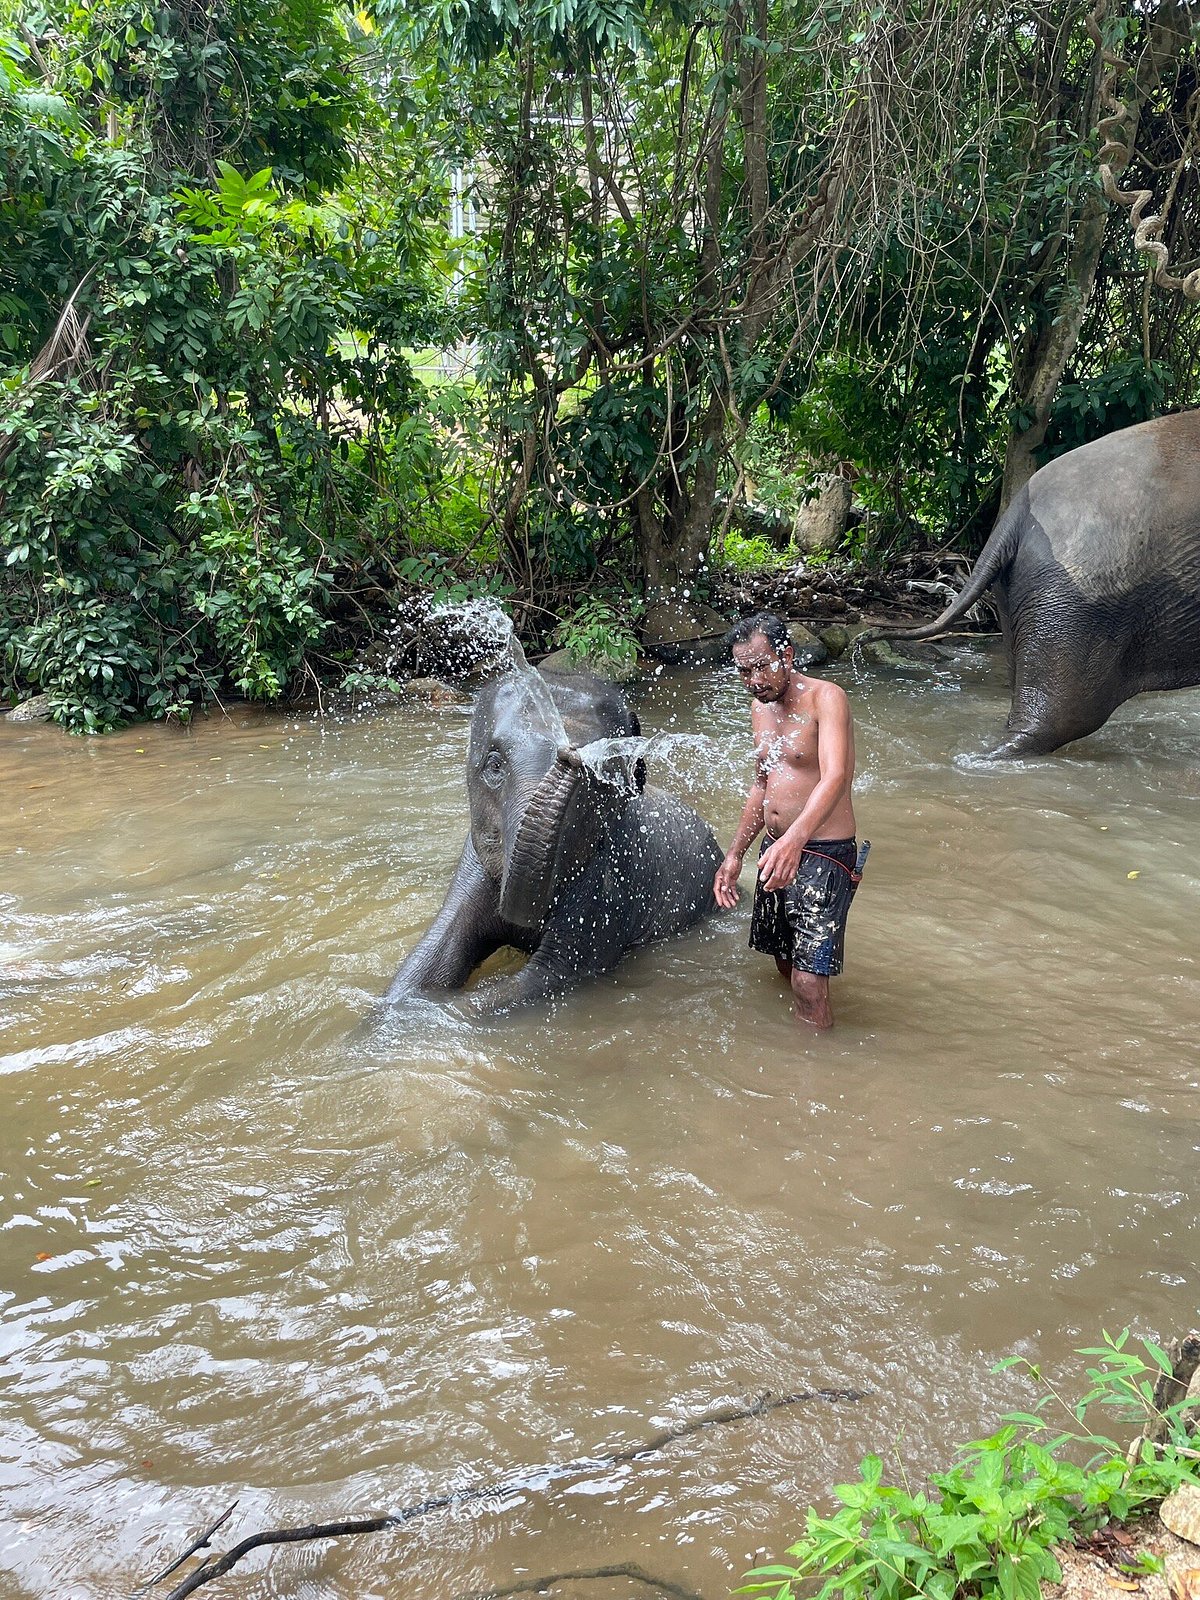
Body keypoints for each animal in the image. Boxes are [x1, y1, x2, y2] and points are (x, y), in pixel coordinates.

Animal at [385, 662, 723, 1011]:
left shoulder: (612, 885)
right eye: (495, 764)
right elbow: (429, 960)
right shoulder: (471, 868)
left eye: (602, 774)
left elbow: (553, 974)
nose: (570, 752)